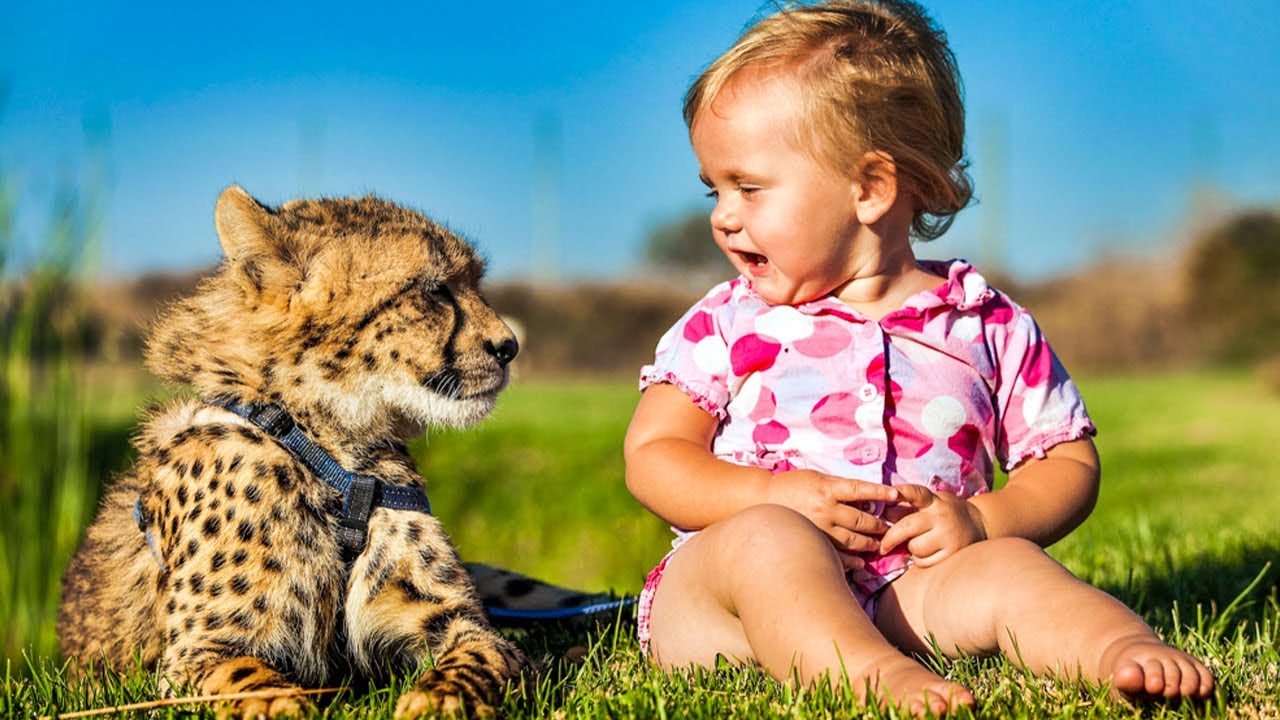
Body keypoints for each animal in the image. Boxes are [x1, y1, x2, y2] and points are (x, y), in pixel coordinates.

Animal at [58, 184, 530, 718]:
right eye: (433, 290)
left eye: (475, 282)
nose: (509, 347)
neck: (333, 453)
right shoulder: (195, 655)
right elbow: (253, 681)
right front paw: (288, 704)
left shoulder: (463, 623)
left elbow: (479, 658)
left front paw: (441, 698)